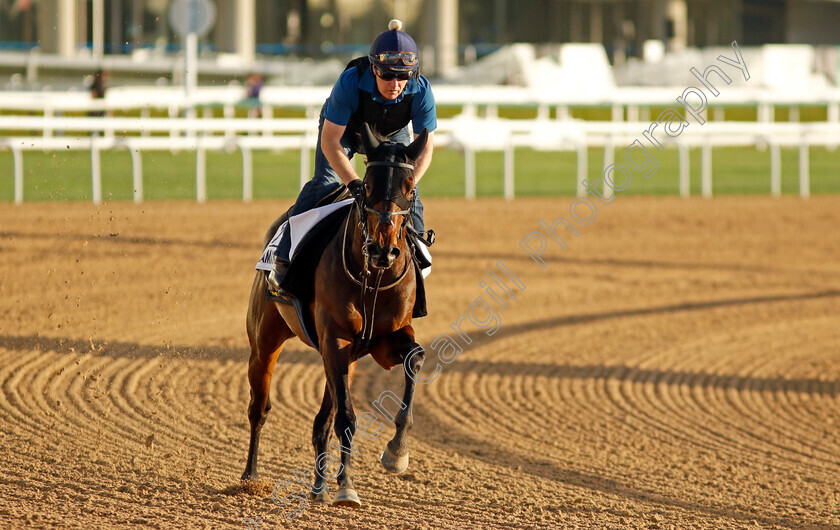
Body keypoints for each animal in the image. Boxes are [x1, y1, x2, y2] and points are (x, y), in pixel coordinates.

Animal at [241, 121, 426, 506]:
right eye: (366, 185)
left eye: (409, 186)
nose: (383, 249)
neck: (373, 277)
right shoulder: (336, 339)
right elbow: (346, 417)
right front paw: (347, 487)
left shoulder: (384, 340)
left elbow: (415, 358)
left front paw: (396, 452)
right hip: (265, 340)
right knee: (259, 407)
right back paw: (250, 477)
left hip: (347, 357)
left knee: (320, 423)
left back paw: (318, 486)